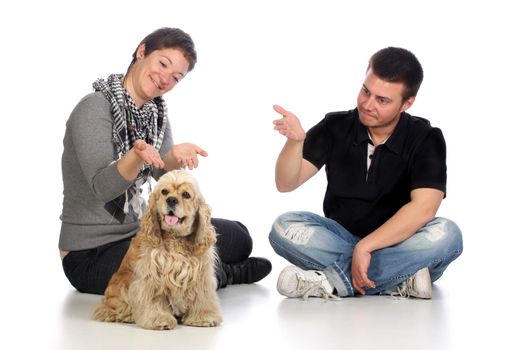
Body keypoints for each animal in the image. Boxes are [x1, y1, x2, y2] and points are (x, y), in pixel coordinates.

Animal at [92, 170, 221, 328]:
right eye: (164, 191)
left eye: (186, 194)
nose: (171, 200)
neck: (175, 238)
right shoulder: (152, 274)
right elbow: (155, 298)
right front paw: (159, 319)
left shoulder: (201, 274)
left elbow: (201, 296)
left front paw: (203, 316)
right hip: (120, 287)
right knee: (109, 310)